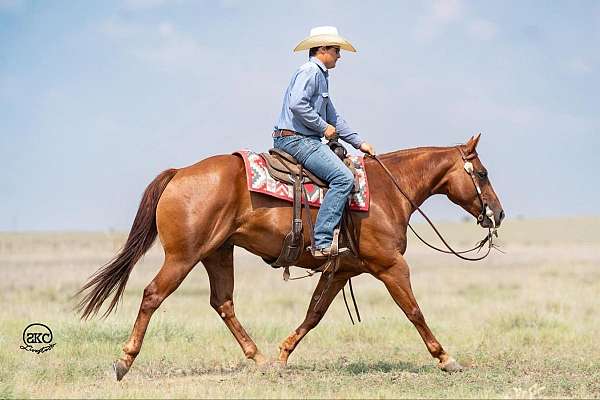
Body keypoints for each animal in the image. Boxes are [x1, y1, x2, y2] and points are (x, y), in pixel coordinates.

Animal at [77, 133, 504, 380]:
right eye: (482, 173)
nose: (498, 214)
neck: (387, 191)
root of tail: (180, 172)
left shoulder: (340, 271)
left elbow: (313, 314)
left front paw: (283, 355)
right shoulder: (391, 266)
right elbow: (414, 311)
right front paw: (446, 358)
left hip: (218, 252)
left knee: (223, 302)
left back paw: (261, 359)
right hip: (183, 257)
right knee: (153, 295)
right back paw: (124, 361)